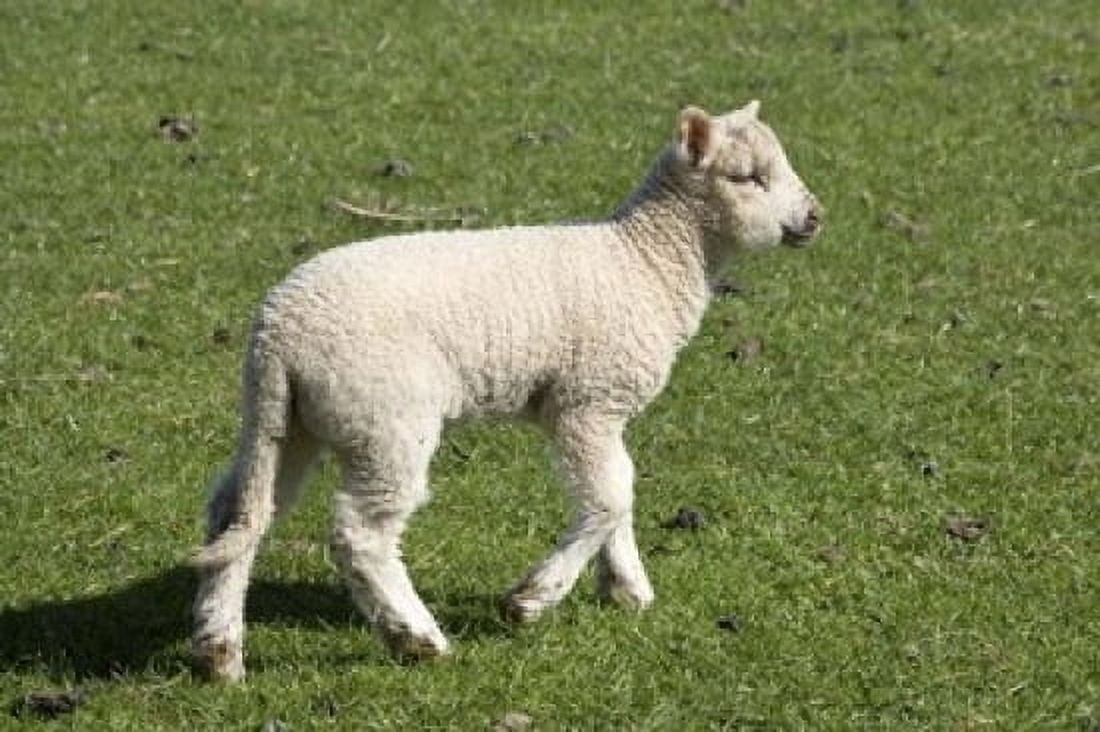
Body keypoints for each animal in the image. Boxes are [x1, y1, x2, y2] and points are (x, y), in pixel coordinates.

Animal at [191, 100, 823, 681]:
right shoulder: (587, 401)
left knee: (239, 514)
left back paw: (219, 649)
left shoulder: (596, 409)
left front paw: (626, 587)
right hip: (386, 420)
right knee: (361, 535)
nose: (815, 217)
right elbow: (608, 498)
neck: (647, 260)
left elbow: (621, 490)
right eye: (748, 177)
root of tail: (279, 335)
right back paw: (416, 637)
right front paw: (533, 599)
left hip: (290, 422)